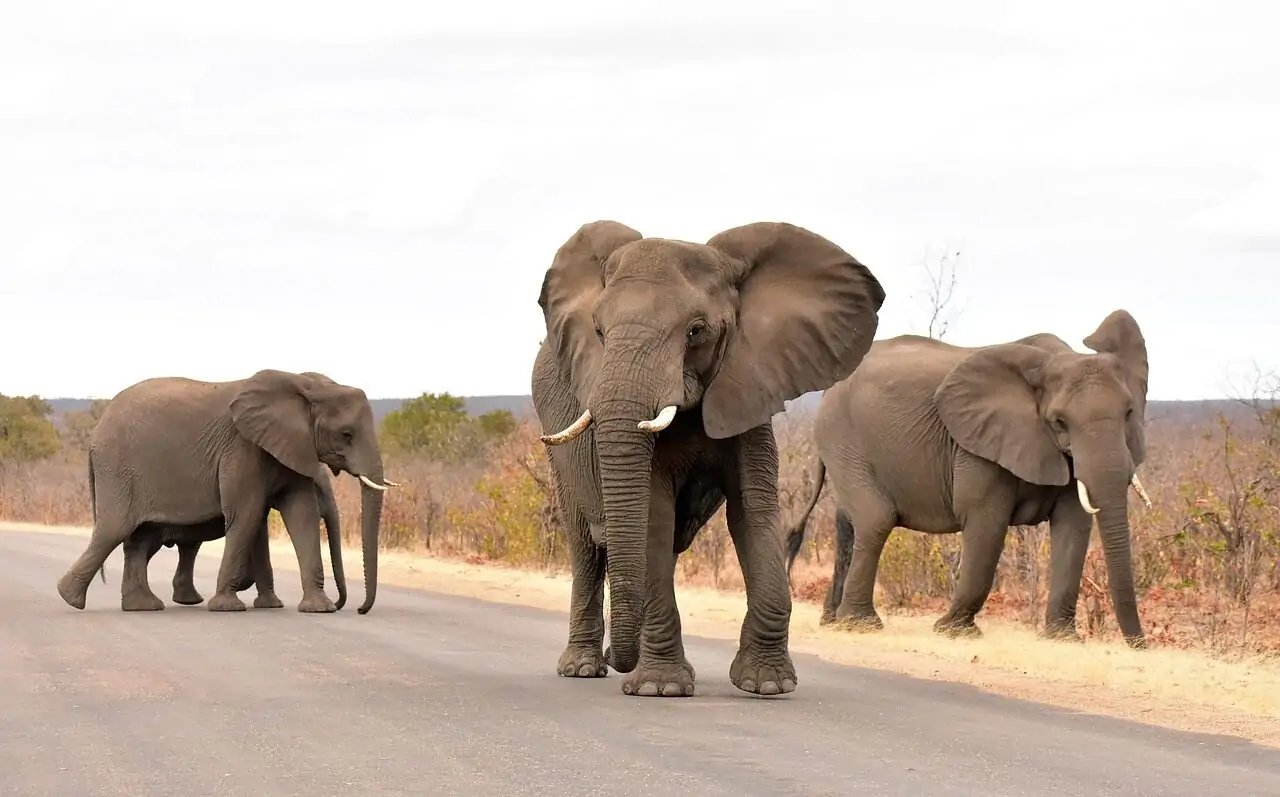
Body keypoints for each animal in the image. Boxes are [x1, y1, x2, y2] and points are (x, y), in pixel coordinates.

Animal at [56, 369, 397, 614]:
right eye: (347, 434)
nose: (356, 608)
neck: (303, 384)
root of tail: (94, 434)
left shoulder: (288, 448)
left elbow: (298, 516)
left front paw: (314, 609)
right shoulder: (242, 449)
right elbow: (246, 515)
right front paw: (228, 607)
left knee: (139, 541)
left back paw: (143, 607)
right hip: (118, 469)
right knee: (114, 530)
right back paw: (71, 599)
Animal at [532, 220, 886, 697]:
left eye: (696, 331)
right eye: (599, 332)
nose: (621, 664)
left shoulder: (751, 389)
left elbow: (753, 512)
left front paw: (766, 684)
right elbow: (654, 514)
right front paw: (659, 689)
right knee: (586, 543)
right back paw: (584, 668)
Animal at [784, 310, 1153, 647]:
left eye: (1129, 413)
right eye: (1059, 421)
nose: (1141, 644)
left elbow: (1073, 526)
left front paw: (1062, 639)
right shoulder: (976, 447)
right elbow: (986, 522)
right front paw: (953, 631)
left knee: (848, 521)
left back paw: (833, 622)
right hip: (842, 437)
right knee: (876, 519)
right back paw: (860, 625)